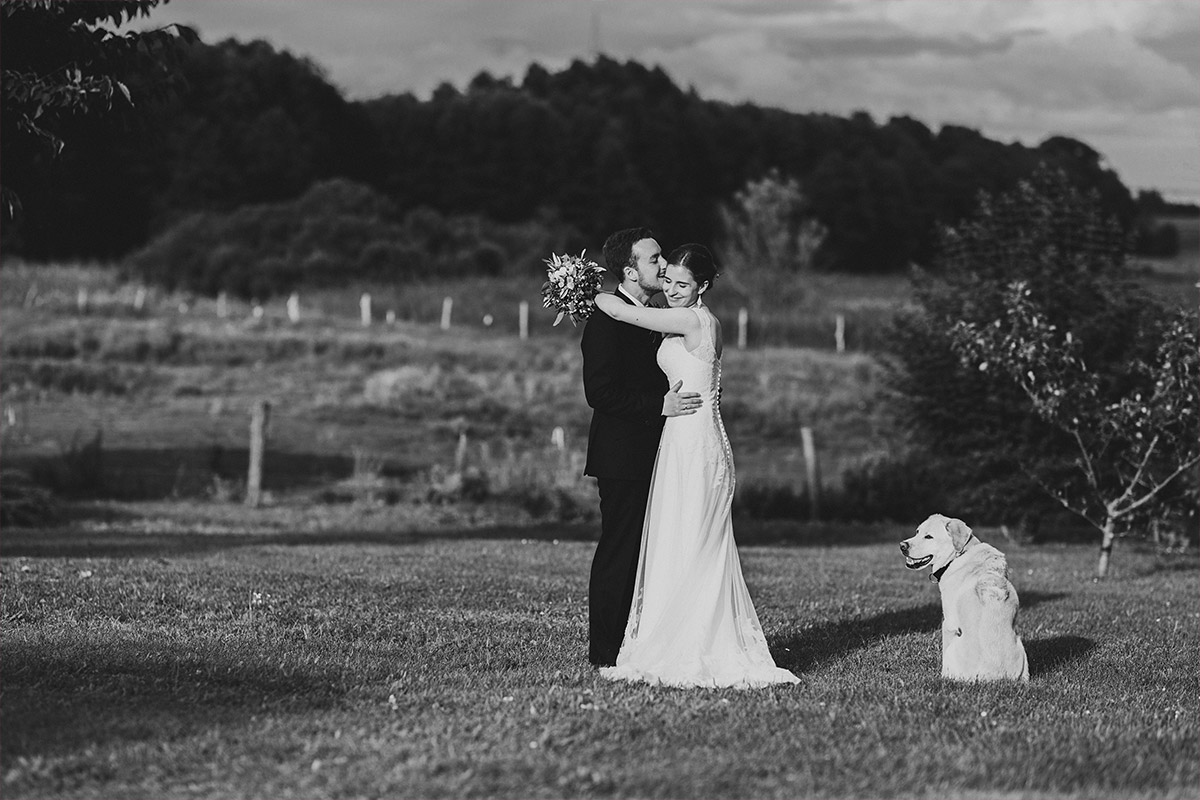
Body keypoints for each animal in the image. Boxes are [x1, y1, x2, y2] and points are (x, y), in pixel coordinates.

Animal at [900, 514, 1029, 682]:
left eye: (929, 537)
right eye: (917, 532)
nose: (902, 546)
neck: (960, 554)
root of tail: (991, 678)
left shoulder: (948, 623)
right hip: (1021, 646)